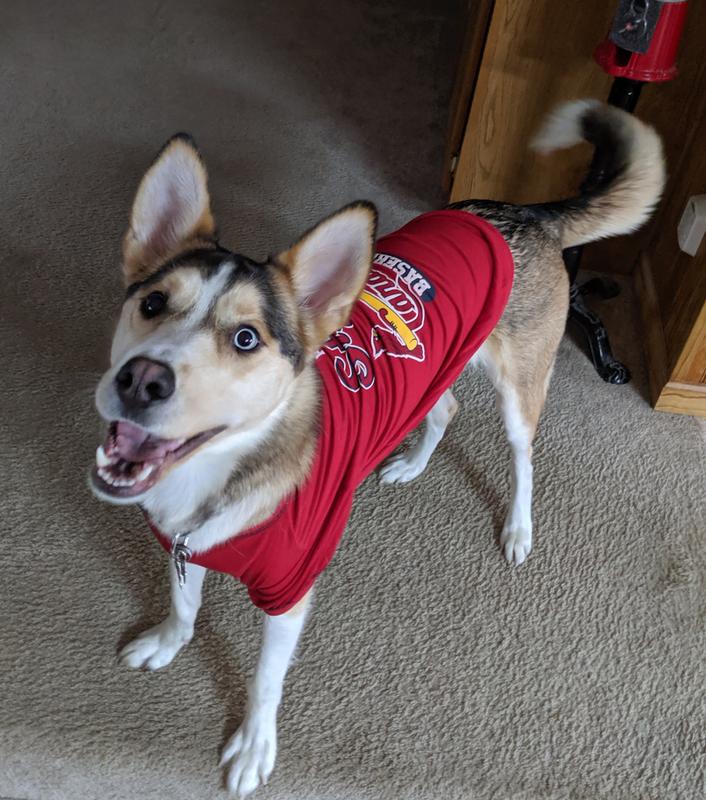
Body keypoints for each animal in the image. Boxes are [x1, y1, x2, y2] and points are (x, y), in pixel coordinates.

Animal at [88, 100, 660, 792]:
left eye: (247, 338)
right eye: (151, 303)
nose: (141, 379)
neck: (222, 471)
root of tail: (521, 213)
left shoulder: (288, 593)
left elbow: (266, 681)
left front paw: (254, 747)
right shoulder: (183, 543)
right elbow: (182, 600)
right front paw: (170, 640)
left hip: (521, 385)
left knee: (523, 455)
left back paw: (519, 527)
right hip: (440, 367)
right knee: (446, 408)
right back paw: (411, 465)